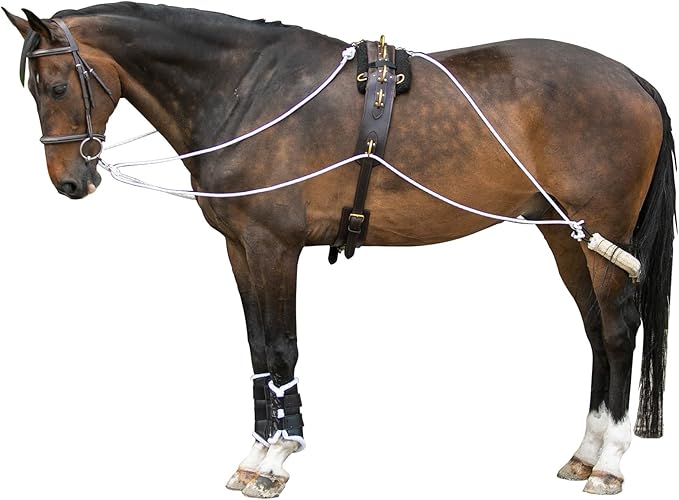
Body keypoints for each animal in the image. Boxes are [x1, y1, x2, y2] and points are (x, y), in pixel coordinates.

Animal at [3, 3, 674, 497]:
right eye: (31, 87)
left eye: (57, 85)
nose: (70, 182)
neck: (250, 90)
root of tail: (633, 80)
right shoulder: (240, 248)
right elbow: (257, 349)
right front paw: (255, 453)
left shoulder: (274, 247)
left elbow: (282, 347)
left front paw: (279, 457)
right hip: (565, 235)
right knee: (595, 332)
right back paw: (584, 453)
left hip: (600, 235)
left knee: (618, 331)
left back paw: (610, 463)